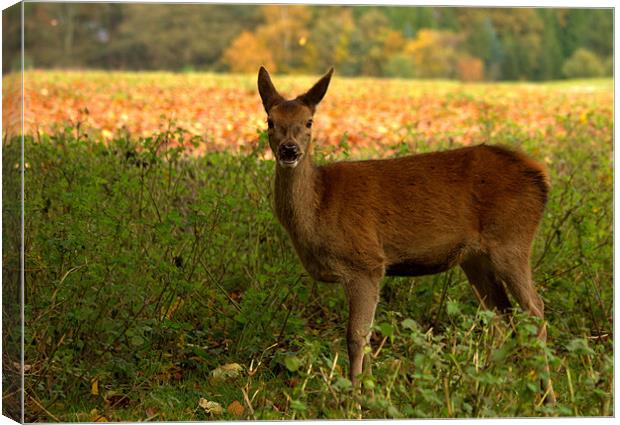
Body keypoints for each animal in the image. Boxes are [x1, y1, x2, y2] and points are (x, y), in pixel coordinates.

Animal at [256, 67, 556, 404]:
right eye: (270, 120)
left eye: (309, 121)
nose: (289, 150)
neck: (319, 207)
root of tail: (541, 176)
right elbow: (367, 335)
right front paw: (371, 395)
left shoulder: (366, 263)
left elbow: (355, 336)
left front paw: (354, 399)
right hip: (476, 258)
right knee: (501, 314)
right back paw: (490, 388)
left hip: (512, 240)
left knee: (534, 310)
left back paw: (546, 397)